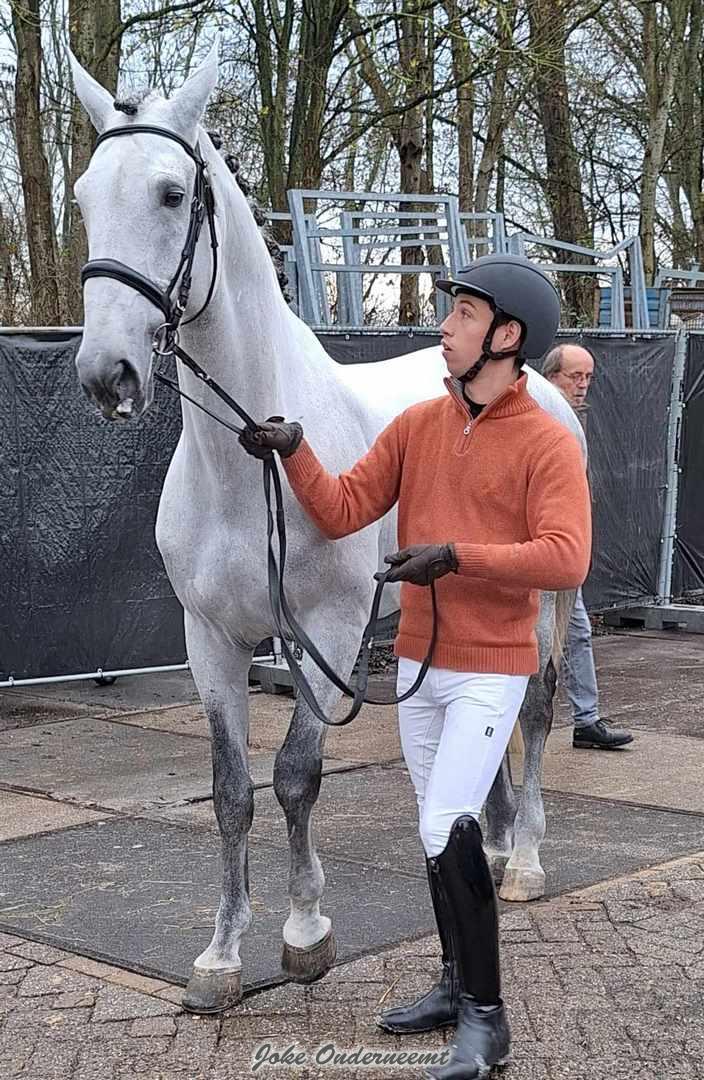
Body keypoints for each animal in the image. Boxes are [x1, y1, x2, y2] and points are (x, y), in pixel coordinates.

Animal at [70, 48, 583, 1010]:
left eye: (170, 193)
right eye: (83, 196)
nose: (105, 374)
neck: (248, 467)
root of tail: (542, 385)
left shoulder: (331, 631)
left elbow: (296, 776)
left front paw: (306, 931)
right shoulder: (210, 639)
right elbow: (231, 790)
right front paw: (221, 957)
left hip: (543, 601)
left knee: (533, 712)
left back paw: (528, 857)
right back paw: (494, 844)